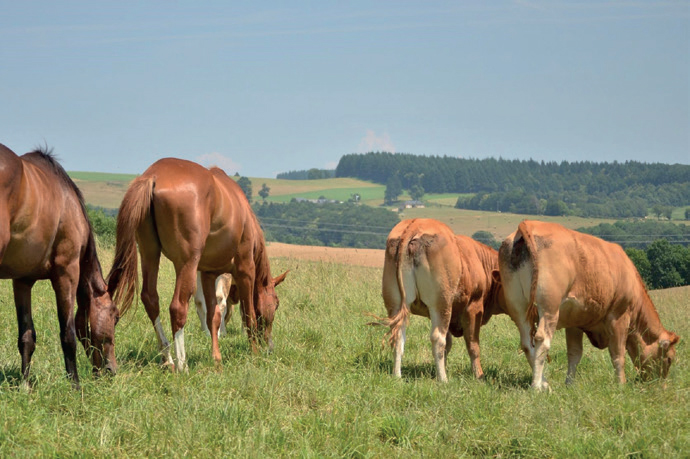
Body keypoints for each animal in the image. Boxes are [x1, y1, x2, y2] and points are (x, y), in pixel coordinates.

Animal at [0, 144, 119, 388]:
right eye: (116, 316)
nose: (112, 370)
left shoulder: (22, 281)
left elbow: (26, 336)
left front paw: (25, 385)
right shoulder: (67, 273)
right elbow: (69, 333)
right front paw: (75, 385)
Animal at [107, 158, 288, 374]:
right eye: (276, 303)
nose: (269, 347)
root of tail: (153, 176)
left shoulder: (209, 274)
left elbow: (213, 316)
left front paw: (216, 358)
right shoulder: (246, 271)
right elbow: (249, 315)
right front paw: (254, 353)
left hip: (150, 254)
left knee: (151, 299)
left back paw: (167, 358)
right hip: (186, 264)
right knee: (177, 308)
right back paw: (182, 364)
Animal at [376, 218, 506, 380]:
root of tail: (415, 224)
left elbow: (448, 345)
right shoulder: (473, 308)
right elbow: (473, 345)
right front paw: (479, 375)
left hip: (396, 303)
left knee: (398, 336)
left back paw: (397, 376)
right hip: (441, 304)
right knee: (437, 338)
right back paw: (443, 379)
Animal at [494, 221, 676, 390]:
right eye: (669, 359)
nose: (661, 386)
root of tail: (530, 224)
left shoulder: (575, 322)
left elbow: (574, 354)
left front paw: (569, 384)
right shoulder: (619, 316)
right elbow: (618, 354)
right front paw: (621, 385)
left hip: (518, 306)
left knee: (527, 344)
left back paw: (545, 384)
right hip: (549, 307)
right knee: (541, 340)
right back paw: (537, 387)